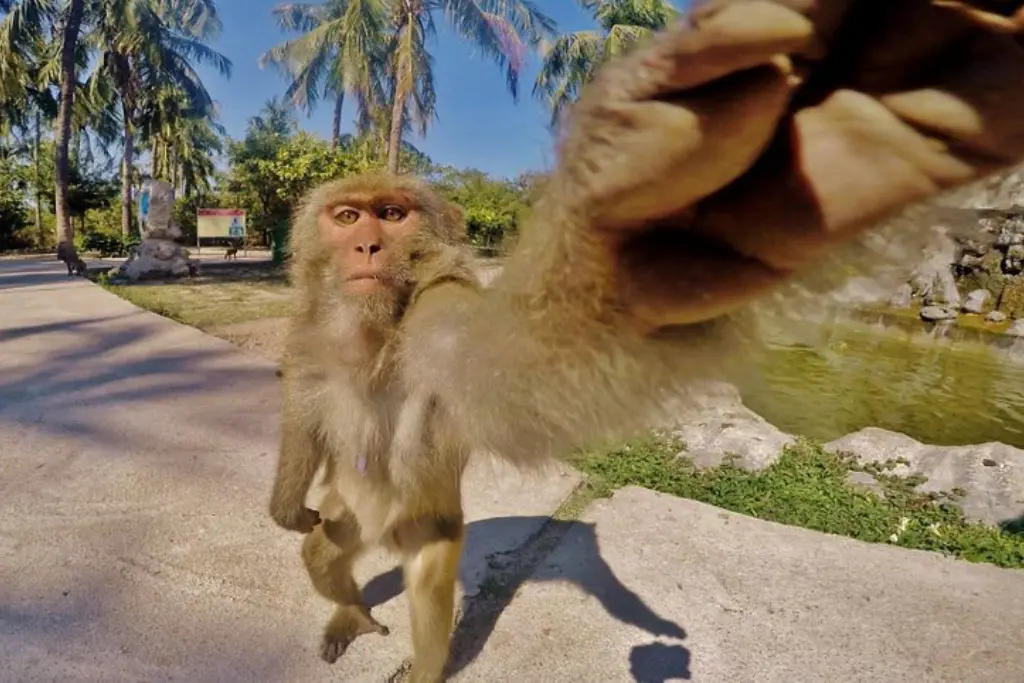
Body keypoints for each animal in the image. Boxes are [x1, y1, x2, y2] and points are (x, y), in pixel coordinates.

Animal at [269, 2, 1024, 681]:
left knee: (426, 592)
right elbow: (303, 416)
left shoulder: (438, 314)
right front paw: (286, 507)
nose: (367, 244)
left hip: (425, 527)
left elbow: (510, 374)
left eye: (392, 215)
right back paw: (349, 609)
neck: (370, 326)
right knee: (324, 553)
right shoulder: (307, 333)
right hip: (353, 517)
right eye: (347, 217)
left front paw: (636, 246)